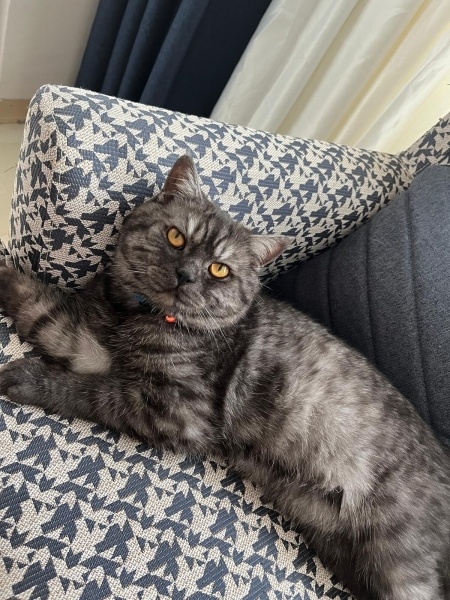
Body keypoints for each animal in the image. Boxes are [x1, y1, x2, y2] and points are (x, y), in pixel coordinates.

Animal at [0, 157, 450, 596]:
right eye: (176, 238)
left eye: (219, 270)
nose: (186, 274)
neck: (132, 316)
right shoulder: (84, 342)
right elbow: (40, 311)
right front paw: (6, 277)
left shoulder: (177, 411)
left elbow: (92, 391)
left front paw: (25, 378)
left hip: (398, 556)